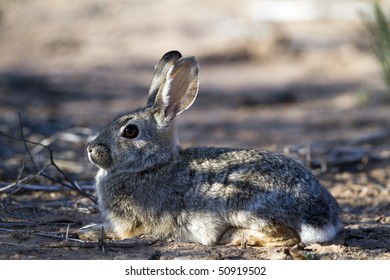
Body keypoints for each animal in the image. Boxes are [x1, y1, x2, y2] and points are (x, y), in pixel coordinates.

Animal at [86, 50, 342, 247]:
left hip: (242, 204)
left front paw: (88, 231)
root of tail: (321, 216)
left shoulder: (131, 223)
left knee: (286, 237)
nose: (91, 148)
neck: (152, 164)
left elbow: (118, 231)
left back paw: (236, 237)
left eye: (130, 131)